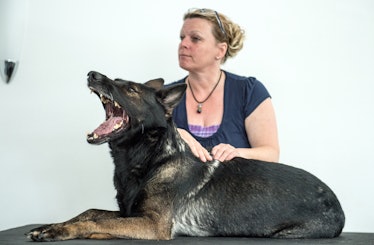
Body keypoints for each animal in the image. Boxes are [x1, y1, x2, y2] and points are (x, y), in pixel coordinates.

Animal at [26, 71, 344, 241]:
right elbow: (92, 212)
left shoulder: (153, 224)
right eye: (115, 80)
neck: (151, 158)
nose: (92, 74)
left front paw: (64, 232)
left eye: (130, 89)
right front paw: (53, 226)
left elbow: (98, 222)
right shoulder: (131, 214)